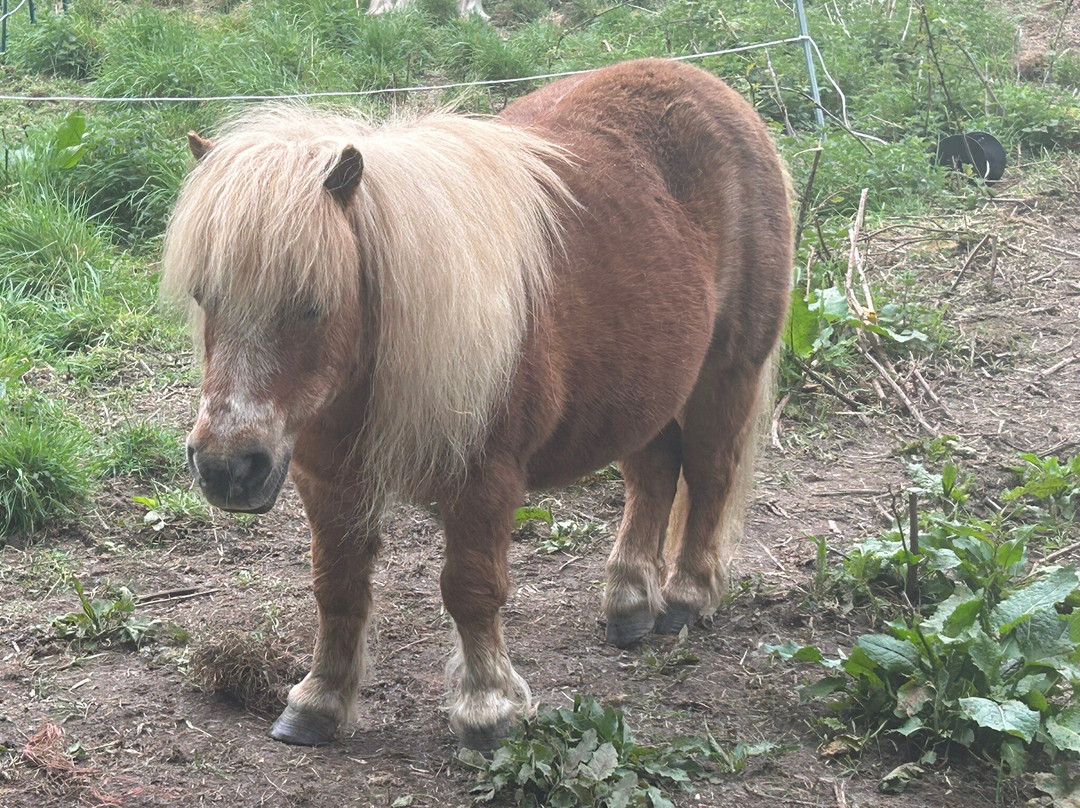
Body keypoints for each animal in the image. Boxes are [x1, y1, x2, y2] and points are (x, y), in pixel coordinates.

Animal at [162, 58, 792, 751]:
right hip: (645, 389)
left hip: (726, 373)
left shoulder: (484, 480)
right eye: (204, 295)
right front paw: (320, 701)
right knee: (654, 477)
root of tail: (714, 91)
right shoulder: (326, 478)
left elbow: (470, 589)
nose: (226, 467)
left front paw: (487, 707)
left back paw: (686, 596)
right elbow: (337, 585)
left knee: (708, 475)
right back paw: (628, 602)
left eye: (312, 303)